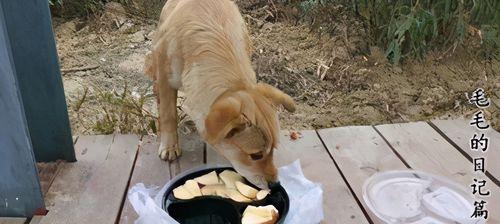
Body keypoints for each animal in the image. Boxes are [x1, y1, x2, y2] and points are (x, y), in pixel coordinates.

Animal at [145, 0, 294, 188]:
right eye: (256, 155)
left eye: (273, 150)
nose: (275, 184)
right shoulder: (166, 78)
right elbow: (168, 115)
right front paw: (169, 146)